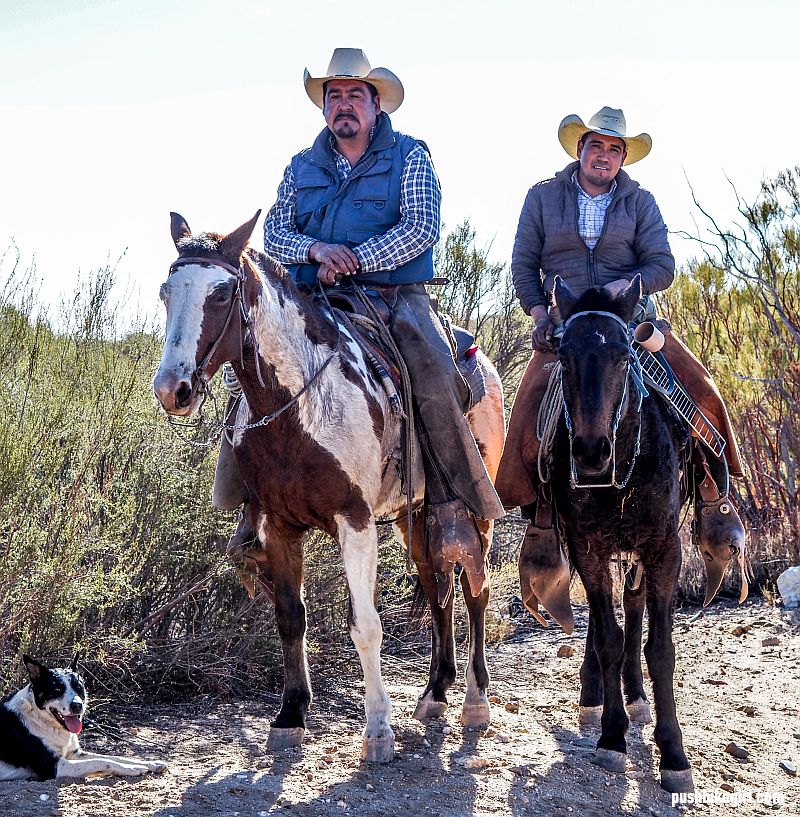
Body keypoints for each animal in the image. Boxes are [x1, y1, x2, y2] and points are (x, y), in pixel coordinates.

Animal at [1, 652, 167, 780]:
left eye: (79, 687)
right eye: (56, 689)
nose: (77, 705)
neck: (40, 717)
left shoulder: (74, 754)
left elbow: (114, 757)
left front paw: (151, 763)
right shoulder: (56, 767)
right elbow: (101, 762)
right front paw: (132, 769)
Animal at [152, 214, 504, 760]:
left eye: (222, 293)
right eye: (167, 292)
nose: (173, 389)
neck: (300, 404)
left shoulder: (355, 522)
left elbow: (365, 625)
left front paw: (377, 729)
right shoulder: (277, 525)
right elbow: (290, 617)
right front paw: (291, 714)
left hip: (474, 509)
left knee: (474, 589)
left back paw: (475, 700)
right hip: (414, 518)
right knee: (437, 586)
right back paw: (434, 692)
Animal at [548, 274, 696, 792]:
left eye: (623, 355)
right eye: (563, 355)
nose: (591, 452)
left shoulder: (664, 549)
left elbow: (660, 647)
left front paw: (673, 753)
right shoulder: (586, 547)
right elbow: (608, 637)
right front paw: (612, 735)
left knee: (633, 608)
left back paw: (635, 694)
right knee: (607, 622)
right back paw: (596, 694)